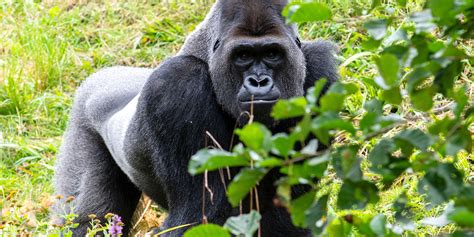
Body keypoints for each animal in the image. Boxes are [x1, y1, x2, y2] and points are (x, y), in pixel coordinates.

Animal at [54, 0, 336, 236]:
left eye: (272, 54)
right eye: (243, 56)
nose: (258, 81)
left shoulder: (320, 72)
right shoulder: (177, 84)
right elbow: (197, 217)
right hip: (82, 115)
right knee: (86, 219)